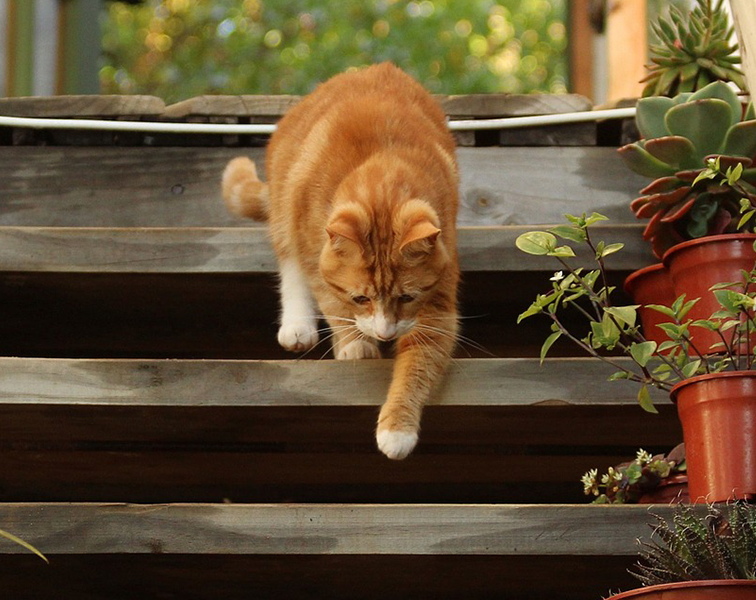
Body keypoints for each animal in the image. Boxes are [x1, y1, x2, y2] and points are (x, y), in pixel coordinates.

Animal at [221, 63, 458, 460]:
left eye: (407, 298)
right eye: (360, 297)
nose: (385, 333)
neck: (382, 169)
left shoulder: (438, 306)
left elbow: (418, 365)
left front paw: (397, 429)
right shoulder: (311, 246)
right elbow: (330, 300)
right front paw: (354, 343)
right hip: (286, 215)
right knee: (290, 269)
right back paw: (297, 327)